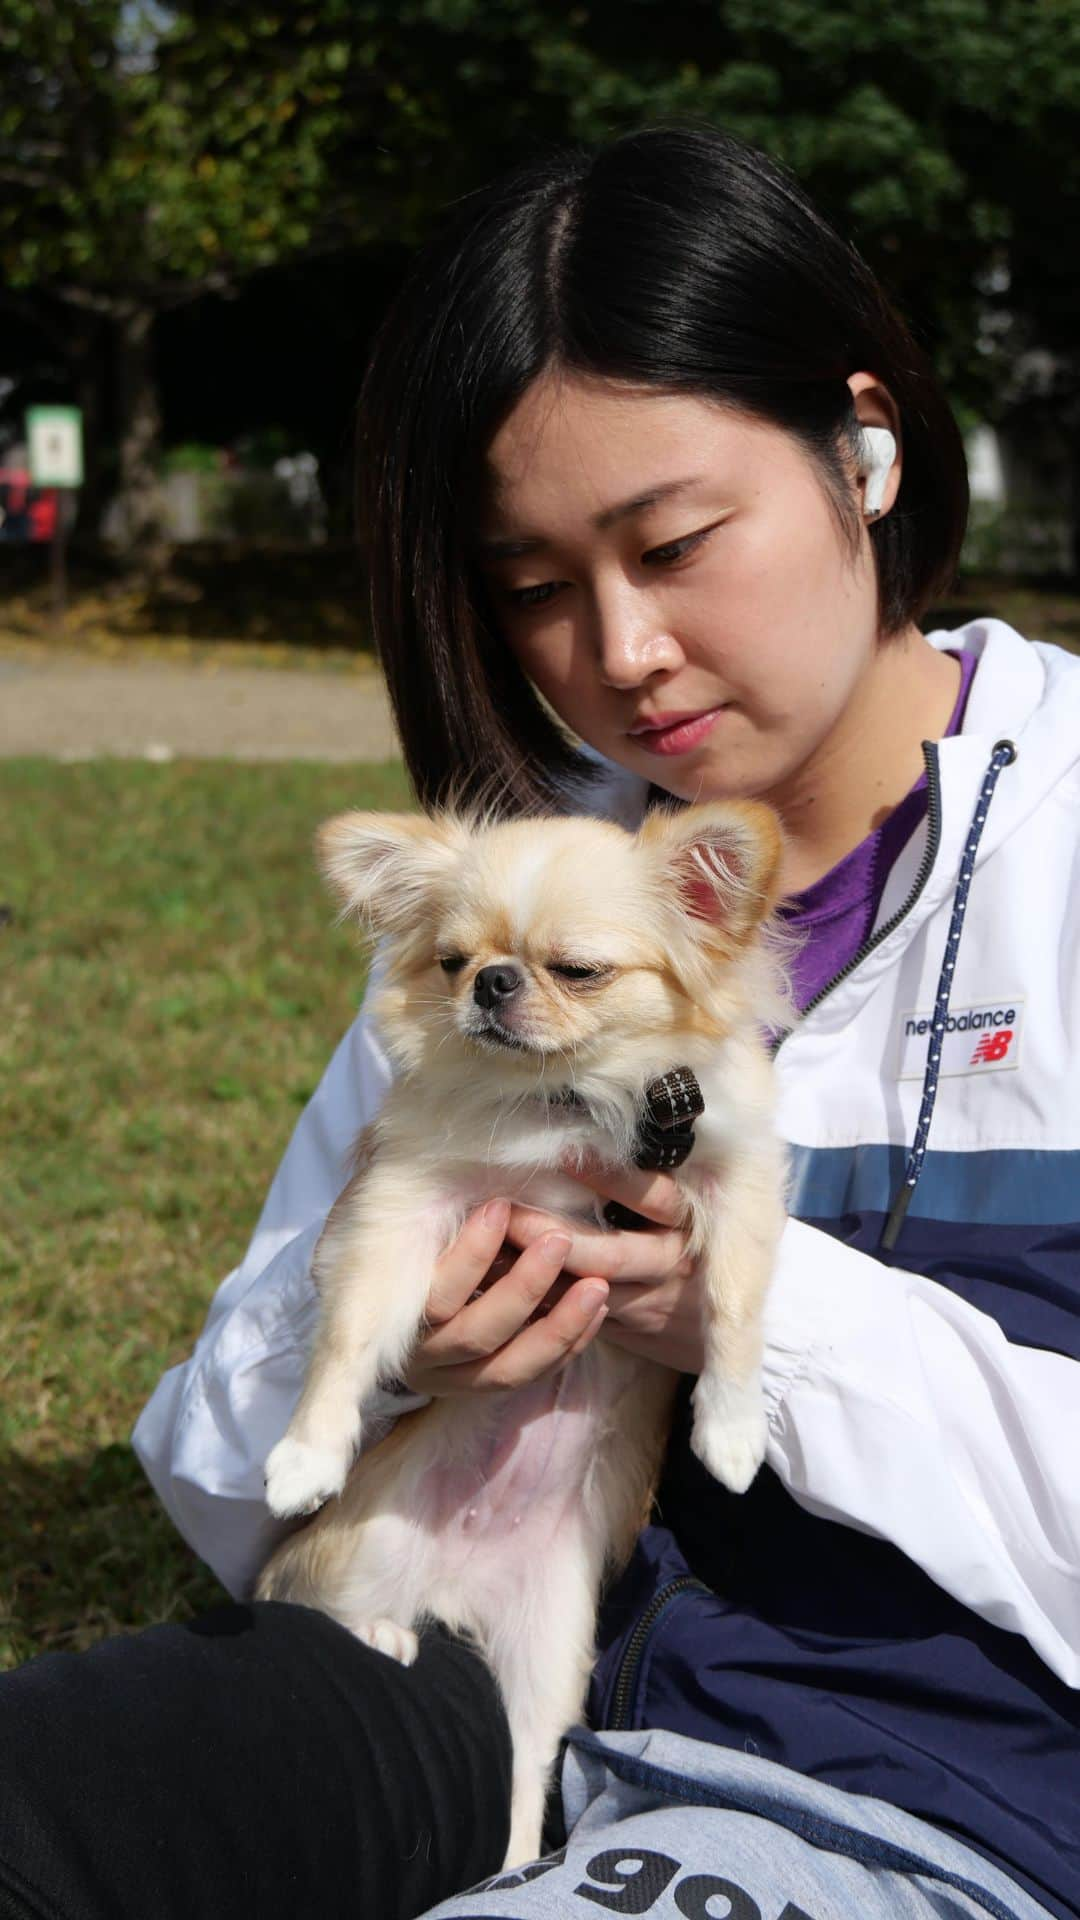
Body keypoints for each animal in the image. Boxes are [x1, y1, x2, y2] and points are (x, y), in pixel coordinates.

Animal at [257, 802, 787, 1866]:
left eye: (577, 970)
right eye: (455, 960)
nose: (494, 983)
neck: (562, 1104)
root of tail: (451, 1592)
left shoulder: (737, 1174)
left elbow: (735, 1307)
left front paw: (732, 1429)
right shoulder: (406, 1201)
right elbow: (348, 1334)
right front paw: (306, 1451)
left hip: (551, 1653)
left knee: (522, 1780)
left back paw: (502, 1870)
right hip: (360, 1551)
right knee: (319, 1606)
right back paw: (381, 1633)